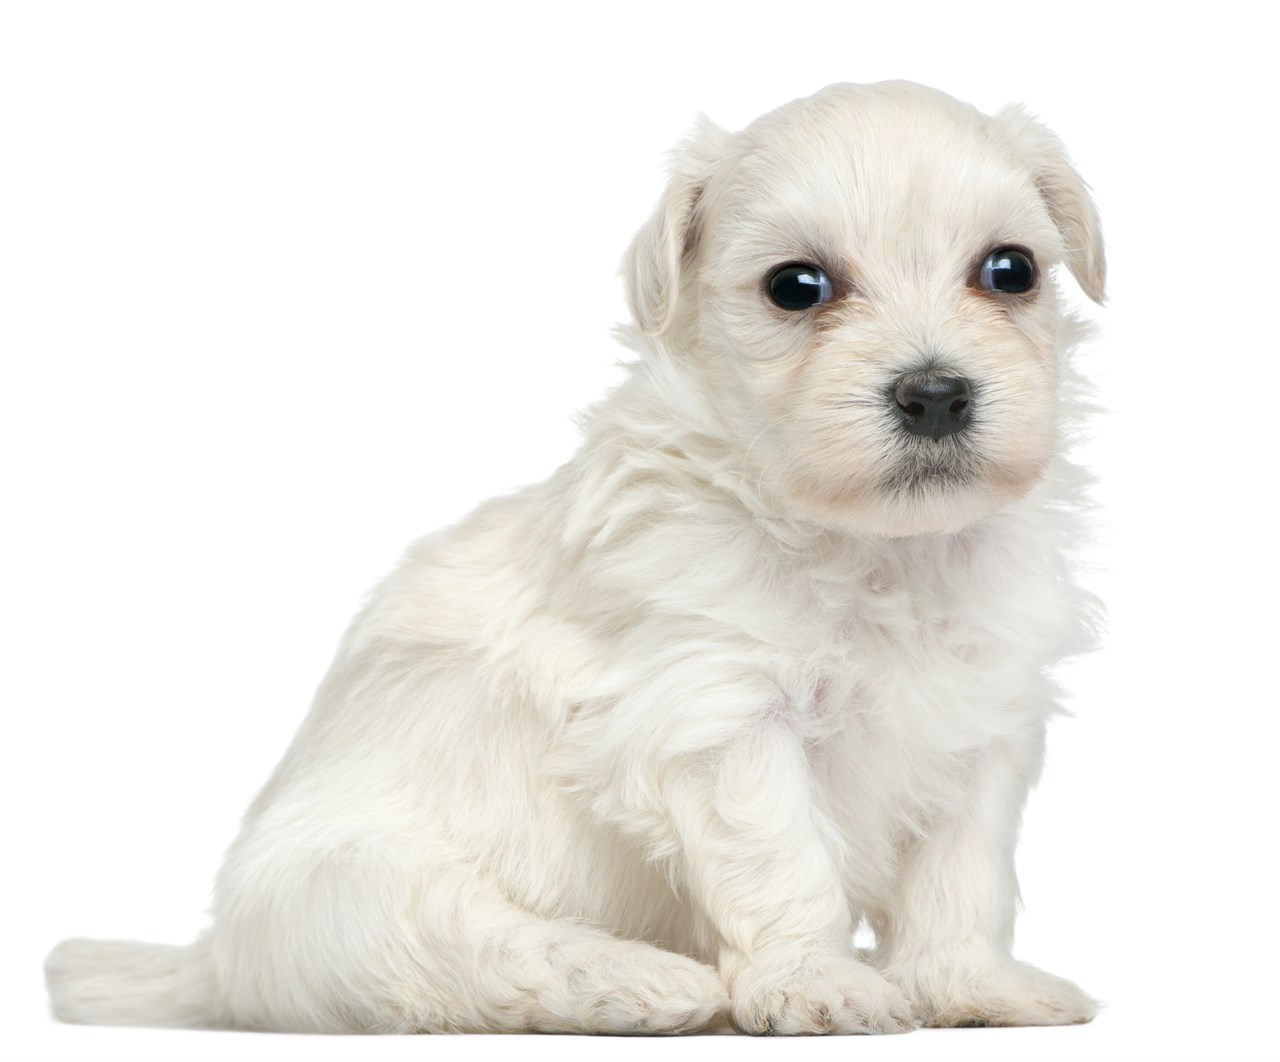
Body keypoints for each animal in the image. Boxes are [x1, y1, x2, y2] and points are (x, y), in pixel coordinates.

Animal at [47, 81, 1100, 1038]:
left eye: (1010, 270)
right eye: (797, 286)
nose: (936, 394)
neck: (880, 548)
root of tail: (216, 961)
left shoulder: (982, 727)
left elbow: (961, 880)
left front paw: (969, 986)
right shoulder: (716, 715)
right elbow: (784, 863)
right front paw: (817, 981)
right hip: (355, 893)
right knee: (479, 955)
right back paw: (640, 981)